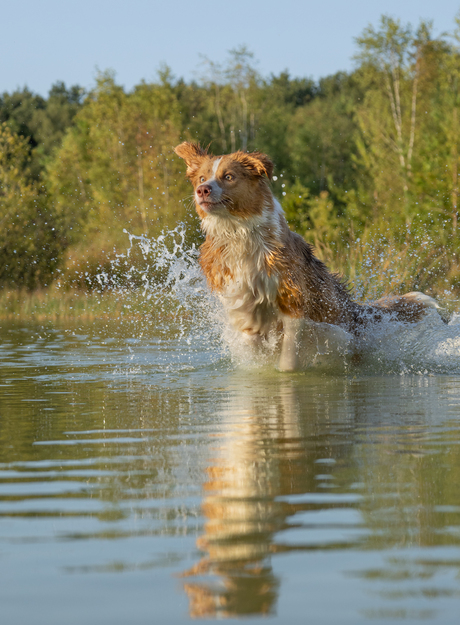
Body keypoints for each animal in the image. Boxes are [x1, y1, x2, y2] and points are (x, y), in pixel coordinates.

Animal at [174, 143, 440, 370]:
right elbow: (253, 339)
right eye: (202, 178)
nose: (202, 190)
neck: (238, 232)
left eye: (228, 176)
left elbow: (289, 358)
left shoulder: (294, 302)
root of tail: (354, 310)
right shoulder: (241, 306)